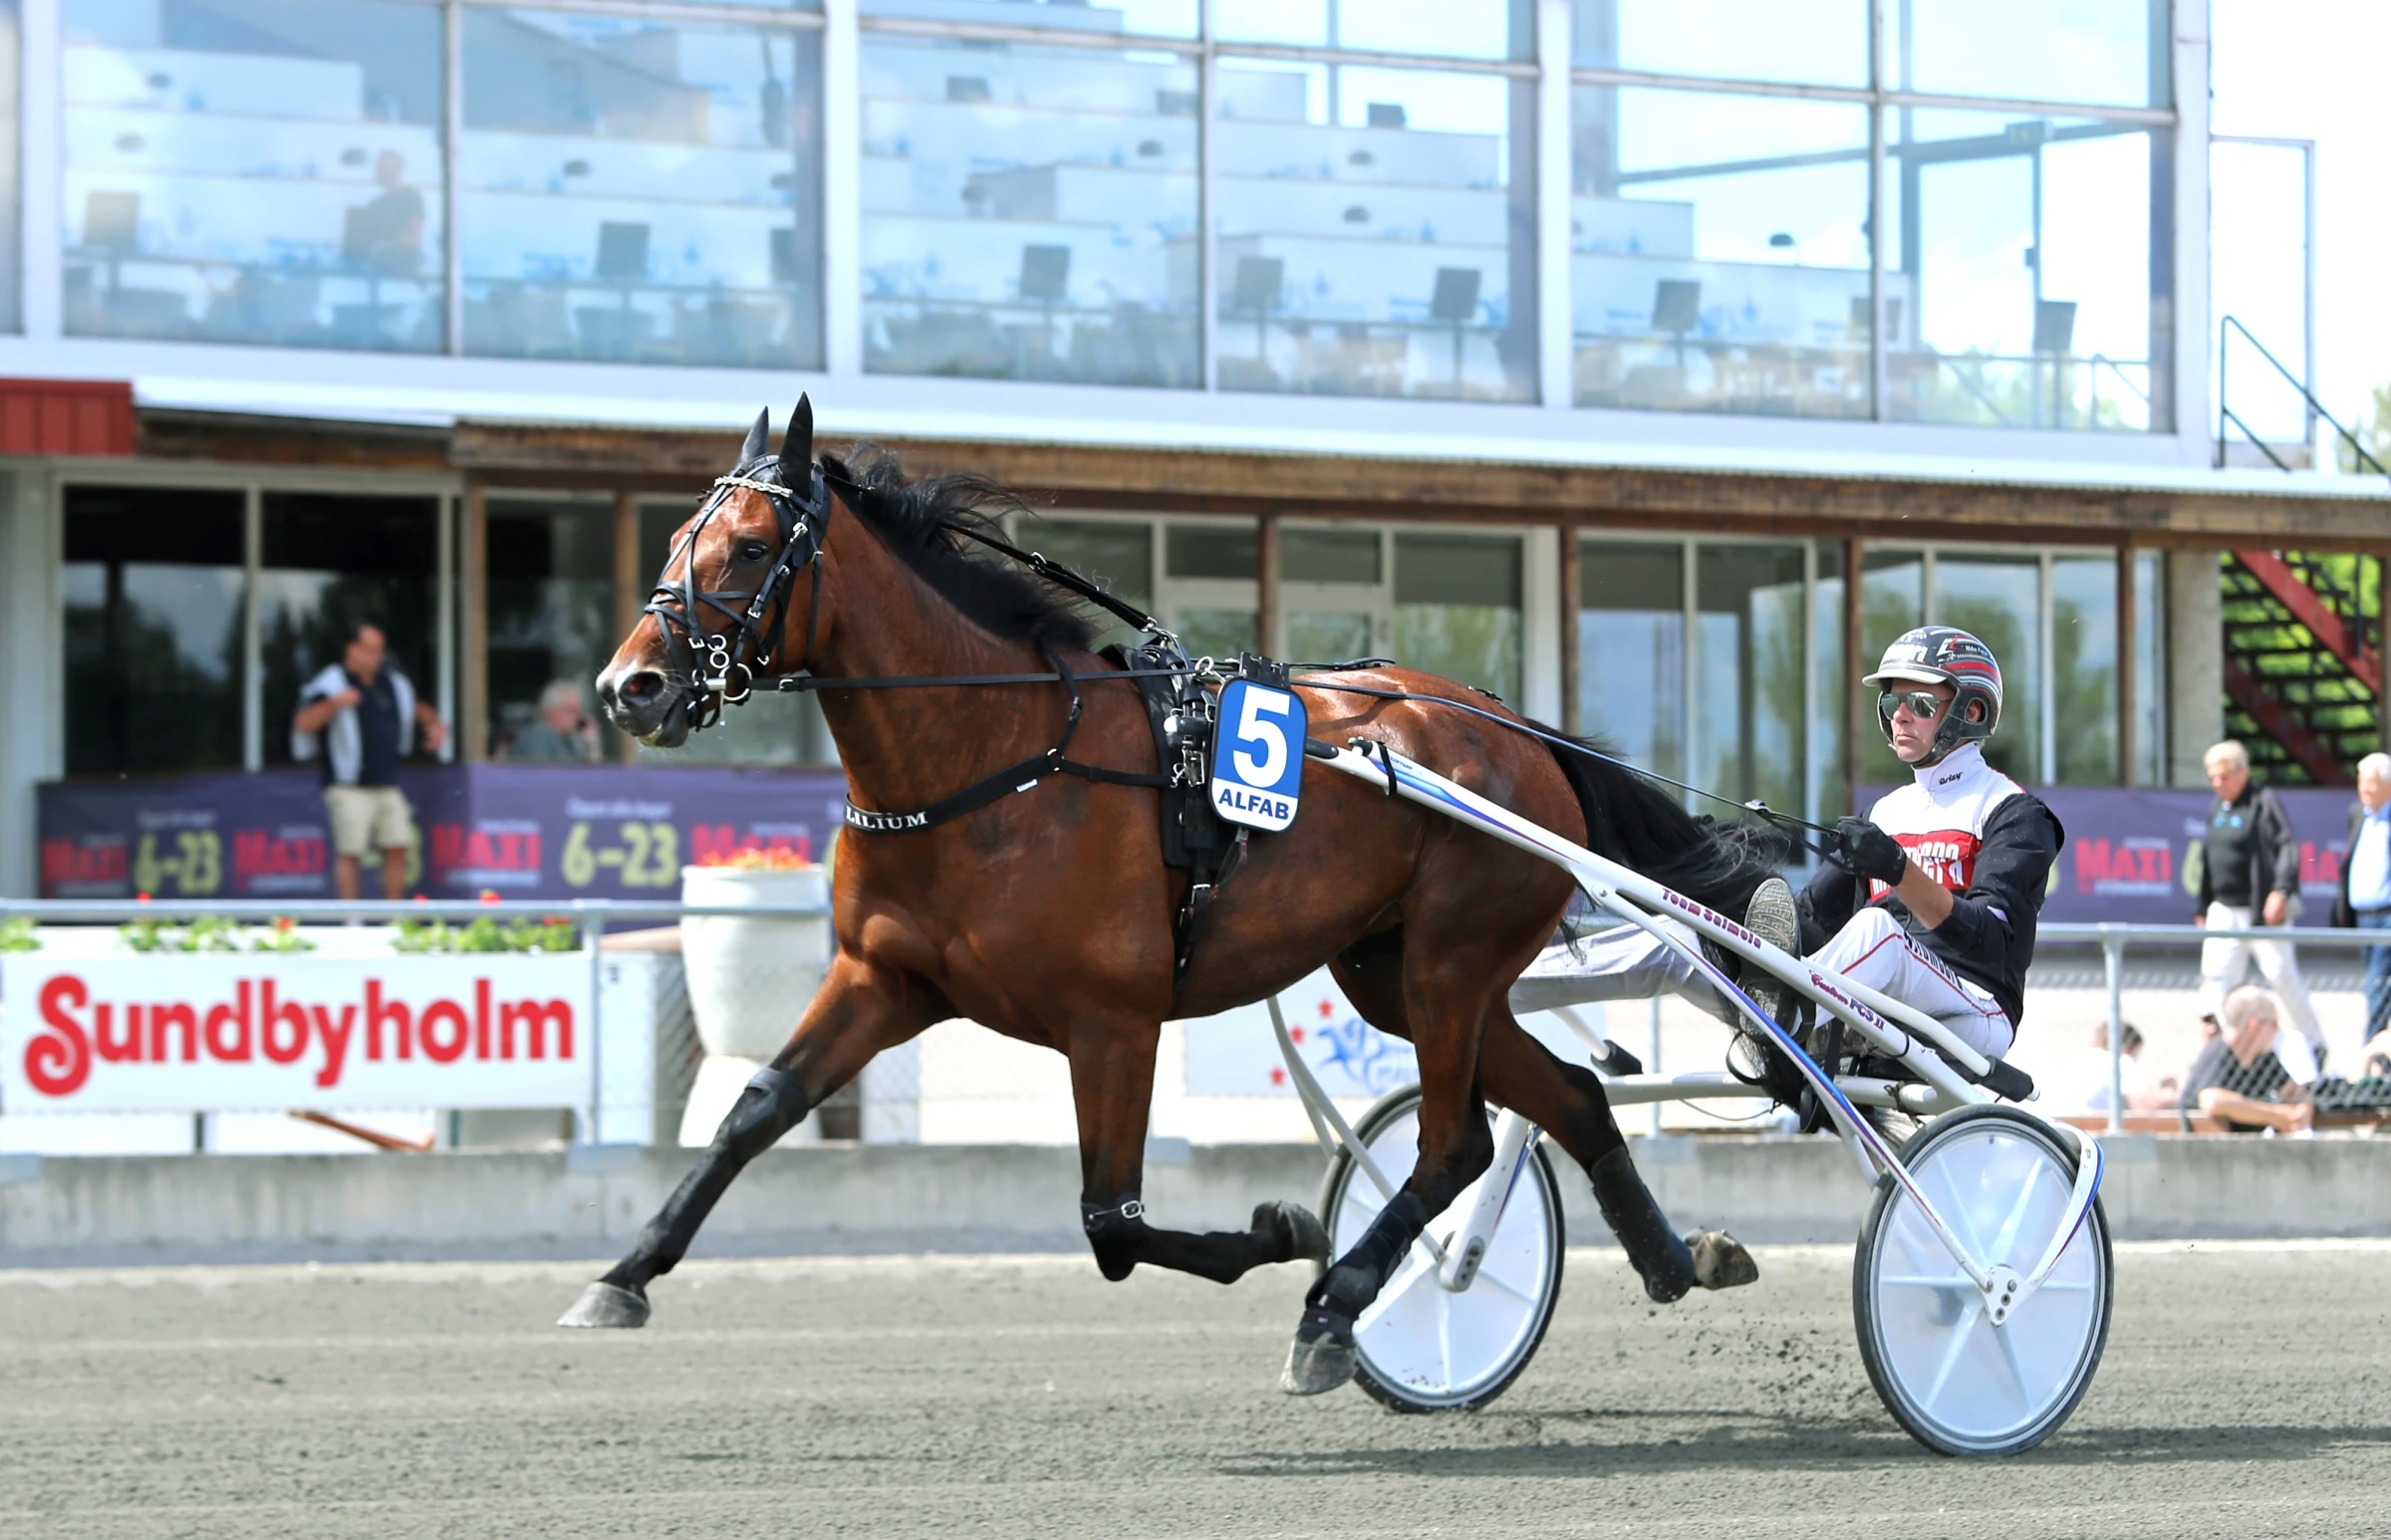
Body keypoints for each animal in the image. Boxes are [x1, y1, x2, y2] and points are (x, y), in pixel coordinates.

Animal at [564, 403, 1778, 1387]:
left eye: (750, 547)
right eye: (673, 541)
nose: (631, 687)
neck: (996, 757)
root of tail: (1515, 729)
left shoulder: (1114, 1019)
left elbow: (1111, 1221)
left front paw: (1284, 1230)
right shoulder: (884, 977)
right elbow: (753, 1111)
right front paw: (622, 1275)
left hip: (1452, 958)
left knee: (1455, 1146)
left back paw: (1334, 1309)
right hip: (1396, 973)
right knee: (1567, 1095)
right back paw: (1677, 1258)